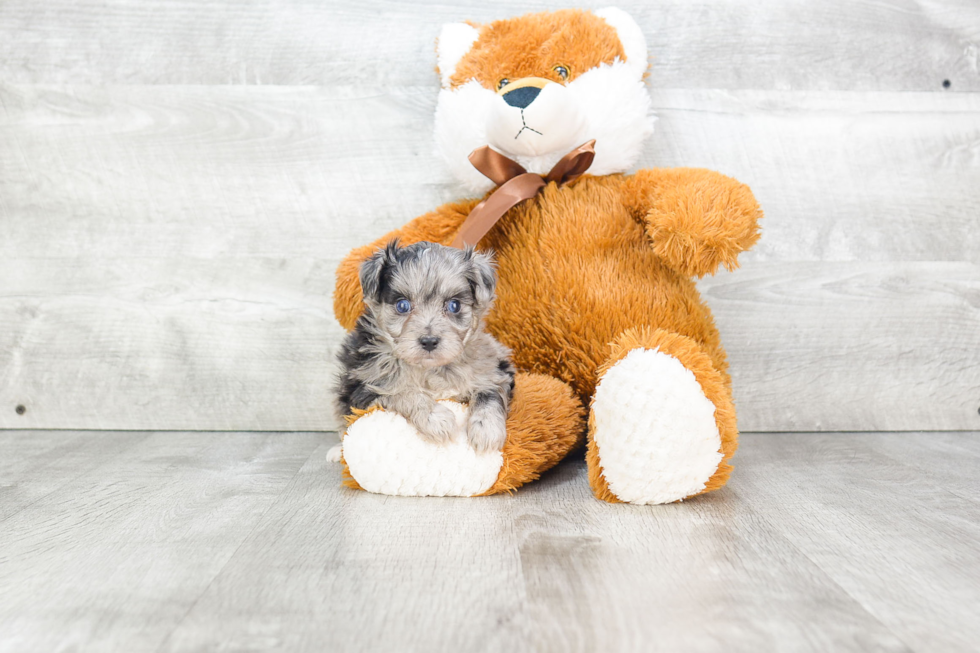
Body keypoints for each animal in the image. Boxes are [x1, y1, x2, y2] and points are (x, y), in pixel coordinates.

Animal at [334, 239, 516, 454]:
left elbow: (490, 394)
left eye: (454, 305)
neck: (430, 368)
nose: (429, 341)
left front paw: (486, 430)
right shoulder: (365, 388)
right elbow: (401, 393)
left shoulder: (493, 370)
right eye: (402, 305)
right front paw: (436, 419)